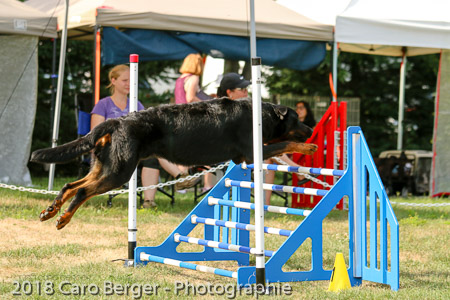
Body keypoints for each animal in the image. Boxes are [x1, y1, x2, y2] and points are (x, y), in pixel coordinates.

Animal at [30, 97, 316, 229]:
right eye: (297, 119)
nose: (311, 129)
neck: (261, 115)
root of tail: (116, 121)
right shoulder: (251, 152)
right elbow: (285, 144)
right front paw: (308, 147)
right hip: (120, 172)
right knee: (81, 191)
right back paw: (63, 218)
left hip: (106, 166)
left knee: (70, 185)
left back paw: (51, 210)